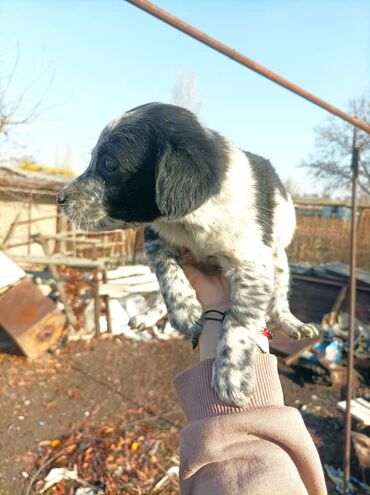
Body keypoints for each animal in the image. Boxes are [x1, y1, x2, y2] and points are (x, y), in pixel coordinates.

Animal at [58, 101, 318, 406]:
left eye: (109, 164)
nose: (59, 198)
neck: (192, 219)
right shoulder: (154, 236)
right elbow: (167, 274)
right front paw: (185, 311)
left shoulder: (253, 263)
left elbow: (239, 320)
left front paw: (231, 375)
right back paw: (150, 315)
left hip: (279, 261)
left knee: (279, 301)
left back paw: (294, 324)